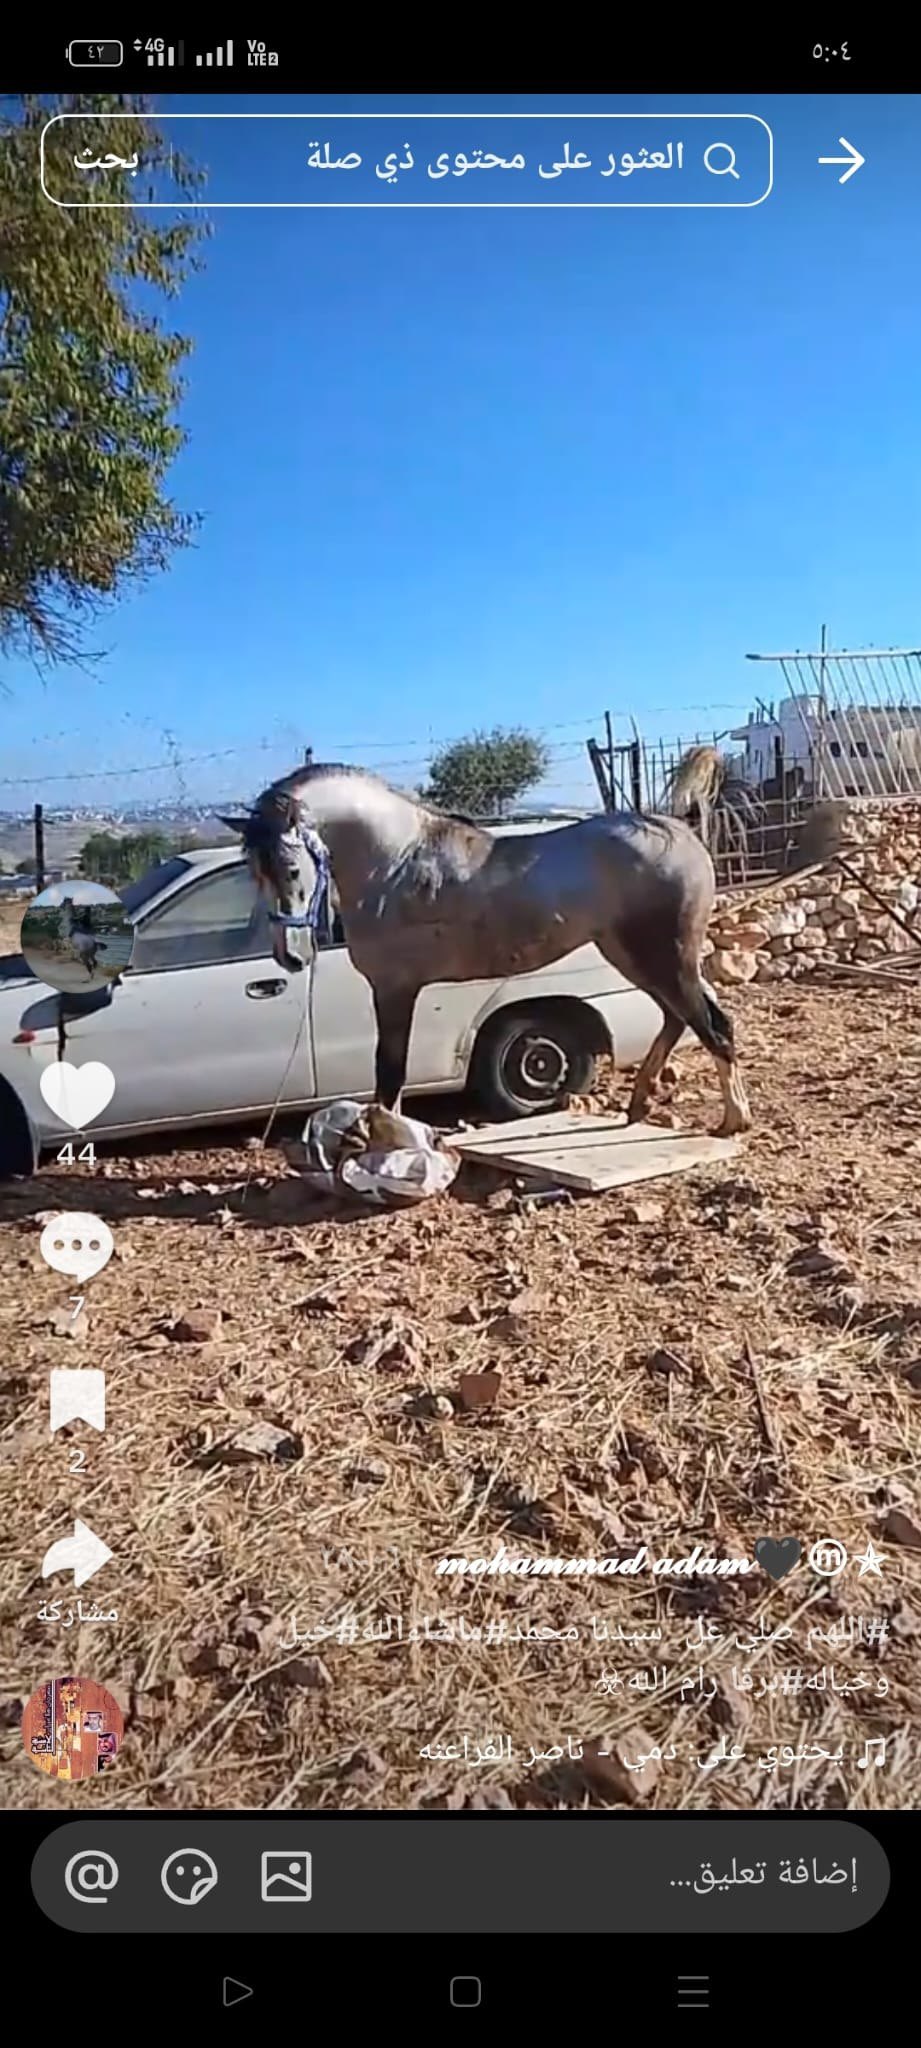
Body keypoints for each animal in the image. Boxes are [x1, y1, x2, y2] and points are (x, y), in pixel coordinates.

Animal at [219, 764, 845, 1138]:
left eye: (292, 865)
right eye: (254, 869)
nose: (291, 957)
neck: (396, 860)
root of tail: (680, 827)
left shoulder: (394, 991)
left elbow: (389, 1072)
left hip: (665, 955)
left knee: (712, 1025)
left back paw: (732, 1120)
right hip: (635, 955)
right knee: (679, 1019)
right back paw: (640, 1105)